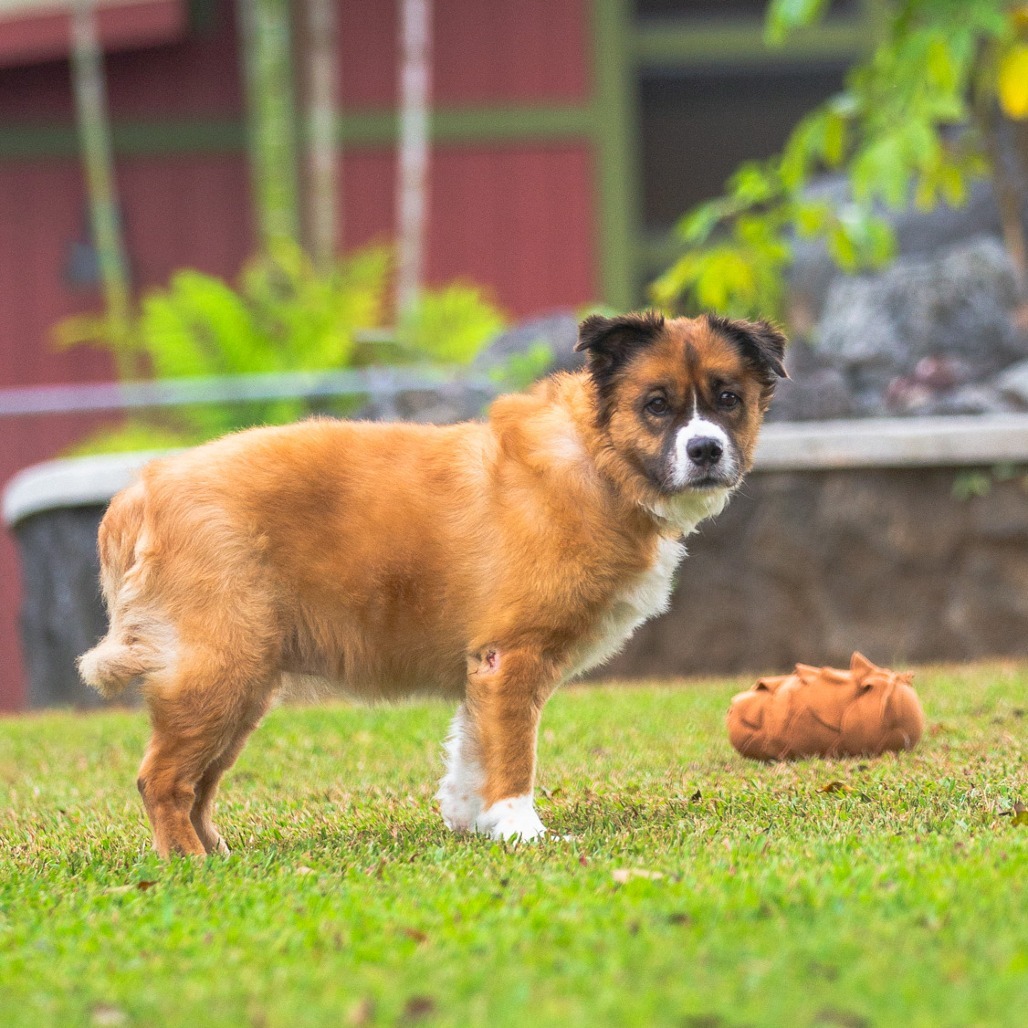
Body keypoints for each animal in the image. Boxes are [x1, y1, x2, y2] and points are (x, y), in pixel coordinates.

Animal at [80, 308, 785, 855]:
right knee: (162, 781)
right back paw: (186, 862)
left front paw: (478, 823)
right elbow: (513, 757)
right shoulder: (513, 658)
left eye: (728, 400)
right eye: (656, 405)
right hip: (220, 675)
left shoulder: (485, 668)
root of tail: (143, 489)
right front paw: (522, 831)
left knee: (199, 784)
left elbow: (474, 752)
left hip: (241, 687)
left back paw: (215, 850)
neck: (596, 459)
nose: (705, 450)